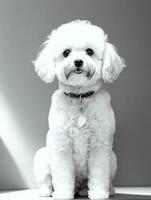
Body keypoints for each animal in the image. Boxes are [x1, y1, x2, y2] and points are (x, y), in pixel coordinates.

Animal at [32, 20, 125, 200]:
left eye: (89, 51)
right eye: (66, 52)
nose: (78, 62)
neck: (80, 96)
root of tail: (79, 187)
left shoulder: (99, 145)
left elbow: (99, 173)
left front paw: (98, 193)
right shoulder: (62, 145)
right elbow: (62, 174)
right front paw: (62, 194)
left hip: (113, 158)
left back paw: (107, 190)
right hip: (42, 156)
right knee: (46, 180)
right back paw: (46, 191)